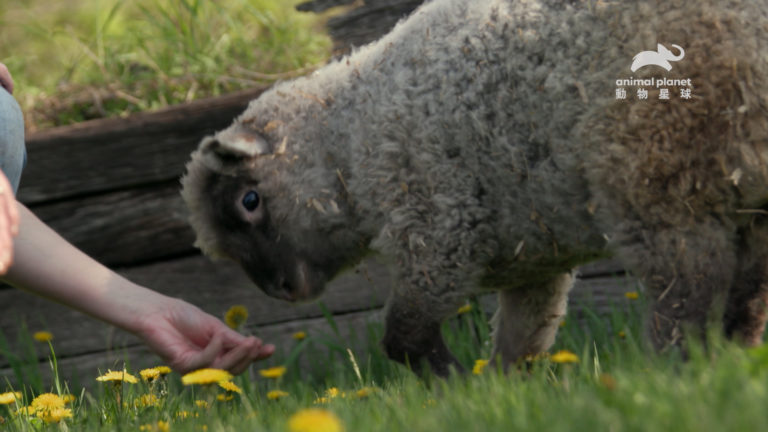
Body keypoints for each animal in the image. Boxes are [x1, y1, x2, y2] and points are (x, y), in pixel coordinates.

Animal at [178, 0, 768, 374]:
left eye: (250, 200)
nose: (278, 289)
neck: (349, 134)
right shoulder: (535, 259)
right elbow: (520, 343)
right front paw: (505, 395)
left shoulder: (439, 228)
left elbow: (403, 337)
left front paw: (453, 386)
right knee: (743, 296)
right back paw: (731, 367)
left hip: (659, 170)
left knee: (689, 286)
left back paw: (675, 372)